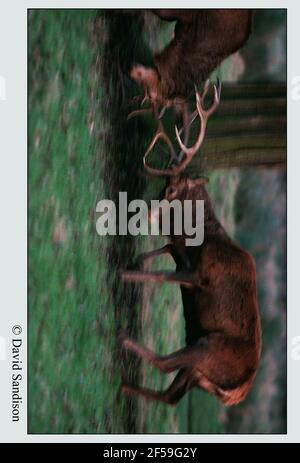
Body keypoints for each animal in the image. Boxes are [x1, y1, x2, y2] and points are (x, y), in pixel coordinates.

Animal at [118, 80, 262, 406]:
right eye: (163, 185)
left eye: (172, 190)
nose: (144, 212)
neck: (203, 240)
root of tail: (236, 392)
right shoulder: (182, 253)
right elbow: (168, 248)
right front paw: (135, 262)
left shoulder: (200, 275)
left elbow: (162, 274)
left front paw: (124, 273)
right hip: (199, 372)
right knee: (171, 395)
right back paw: (125, 387)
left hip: (209, 345)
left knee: (165, 364)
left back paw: (125, 340)